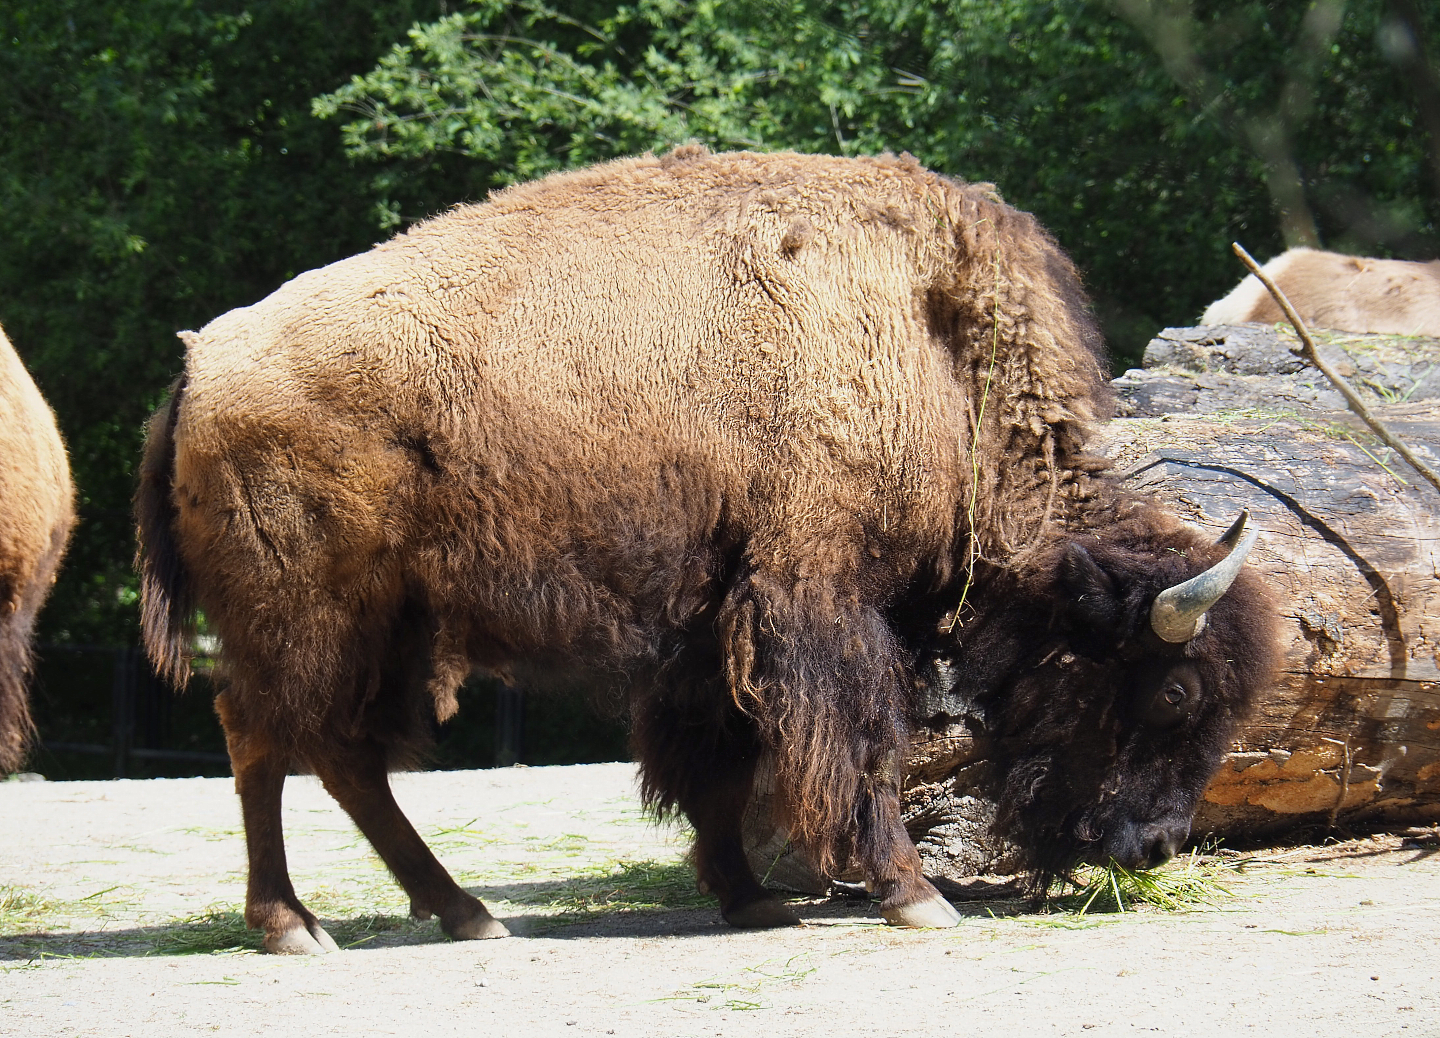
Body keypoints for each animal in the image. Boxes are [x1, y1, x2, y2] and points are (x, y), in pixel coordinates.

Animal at [136, 147, 1278, 952]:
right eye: (1172, 695)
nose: (1154, 846)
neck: (940, 361)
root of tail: (199, 363)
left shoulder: (711, 626)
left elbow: (720, 763)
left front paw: (749, 898)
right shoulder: (821, 601)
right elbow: (861, 745)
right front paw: (913, 896)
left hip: (388, 624)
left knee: (344, 757)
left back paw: (464, 911)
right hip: (308, 617)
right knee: (264, 739)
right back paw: (295, 926)